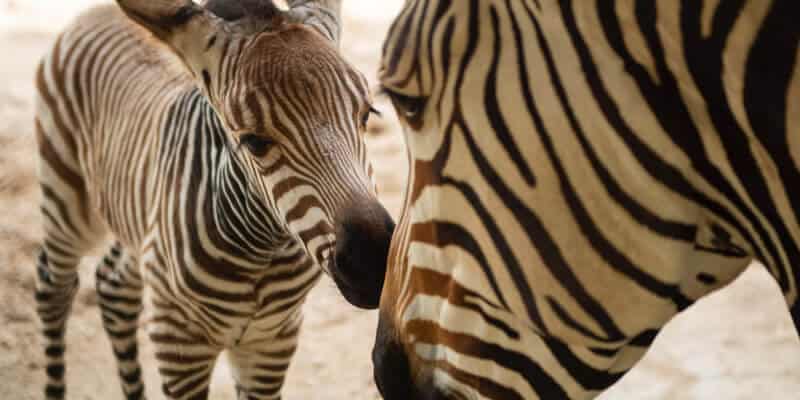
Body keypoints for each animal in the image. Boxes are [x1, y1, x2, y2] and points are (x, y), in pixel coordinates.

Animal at [32, 1, 396, 398]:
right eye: (254, 142)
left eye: (367, 114)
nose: (374, 263)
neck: (262, 252)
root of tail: (95, 11)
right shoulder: (178, 345)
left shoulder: (272, 343)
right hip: (66, 197)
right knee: (53, 288)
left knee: (114, 286)